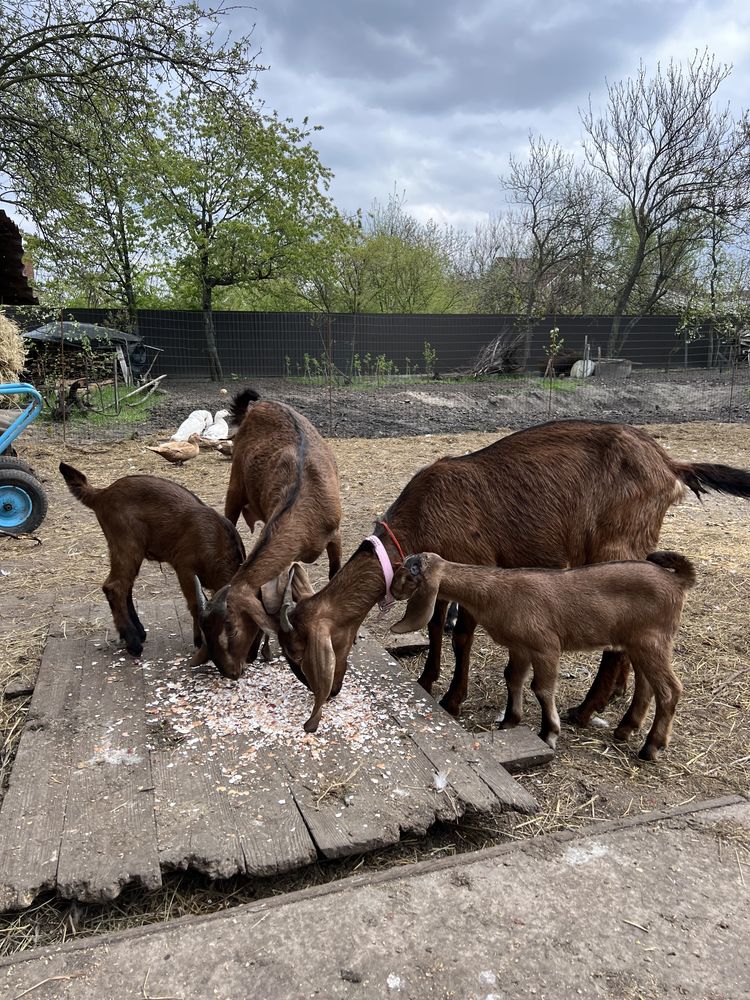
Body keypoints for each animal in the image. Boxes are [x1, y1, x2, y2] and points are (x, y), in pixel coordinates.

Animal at [60, 462, 247, 656]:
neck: (217, 541)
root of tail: (102, 494)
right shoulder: (185, 569)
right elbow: (195, 604)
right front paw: (199, 641)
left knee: (126, 587)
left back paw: (138, 633)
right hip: (127, 545)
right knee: (115, 587)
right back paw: (134, 642)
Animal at [195, 390, 346, 680]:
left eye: (231, 629)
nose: (230, 672)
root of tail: (258, 404)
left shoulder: (335, 534)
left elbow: (334, 573)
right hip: (235, 485)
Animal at [274, 418, 750, 732]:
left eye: (300, 653)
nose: (331, 691)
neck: (421, 517)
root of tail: (671, 465)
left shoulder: (477, 561)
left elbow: (462, 634)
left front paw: (452, 699)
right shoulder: (437, 574)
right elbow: (434, 625)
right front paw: (427, 679)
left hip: (617, 543)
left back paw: (588, 710)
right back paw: (617, 701)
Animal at [394, 556, 700, 756]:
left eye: (409, 575)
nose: (394, 590)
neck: (498, 592)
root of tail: (677, 580)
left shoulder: (545, 646)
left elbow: (541, 687)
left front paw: (549, 733)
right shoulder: (519, 647)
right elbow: (513, 678)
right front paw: (509, 721)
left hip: (653, 641)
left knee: (669, 690)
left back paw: (651, 747)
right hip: (638, 644)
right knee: (647, 686)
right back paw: (626, 729)